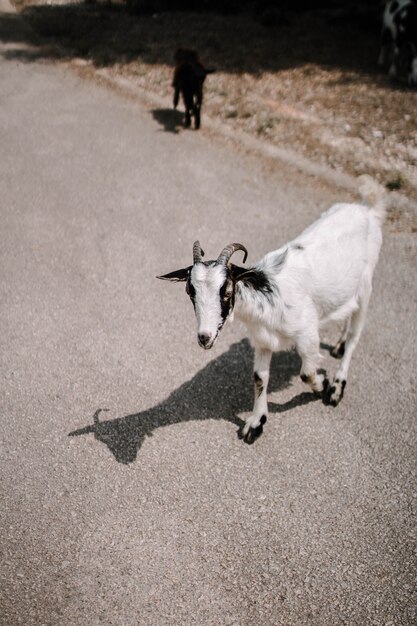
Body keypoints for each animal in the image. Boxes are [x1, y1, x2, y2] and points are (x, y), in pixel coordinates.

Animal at [158, 173, 386, 442]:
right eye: (189, 291)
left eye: (226, 290)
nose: (204, 337)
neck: (268, 297)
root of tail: (366, 209)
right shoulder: (263, 341)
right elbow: (259, 378)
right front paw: (256, 423)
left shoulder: (308, 335)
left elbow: (307, 373)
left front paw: (323, 383)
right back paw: (338, 346)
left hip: (366, 285)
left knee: (354, 336)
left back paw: (337, 386)